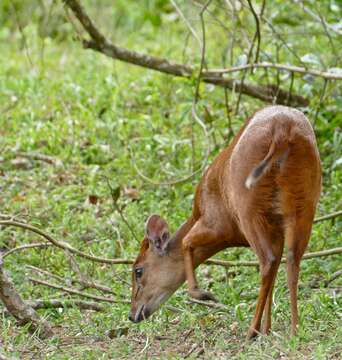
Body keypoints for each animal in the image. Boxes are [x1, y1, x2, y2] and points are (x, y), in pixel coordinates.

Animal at [128, 105, 320, 338]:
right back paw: (293, 330)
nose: (132, 314)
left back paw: (251, 331)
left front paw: (203, 294)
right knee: (291, 260)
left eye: (138, 270)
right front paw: (268, 329)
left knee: (268, 261)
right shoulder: (275, 231)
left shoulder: (214, 223)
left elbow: (186, 242)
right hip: (304, 203)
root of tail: (282, 130)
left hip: (249, 209)